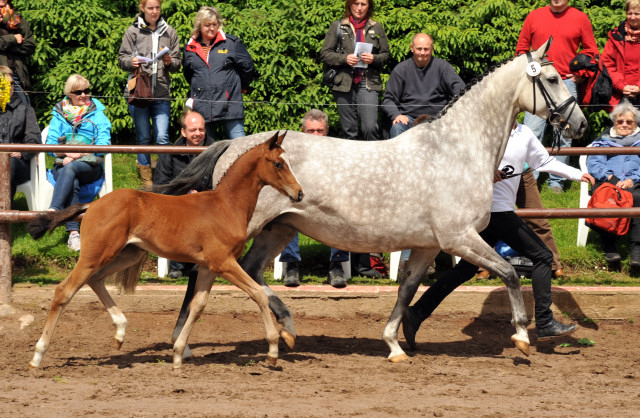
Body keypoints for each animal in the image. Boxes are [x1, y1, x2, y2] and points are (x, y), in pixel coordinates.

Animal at [27, 132, 302, 368]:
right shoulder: (223, 263)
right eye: (278, 164)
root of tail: (92, 205)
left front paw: (179, 353)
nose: (299, 193)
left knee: (95, 280)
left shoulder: (208, 266)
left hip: (127, 254)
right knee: (64, 291)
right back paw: (38, 356)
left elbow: (198, 306)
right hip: (95, 255)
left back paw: (120, 332)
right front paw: (273, 350)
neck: (226, 206)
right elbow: (259, 294)